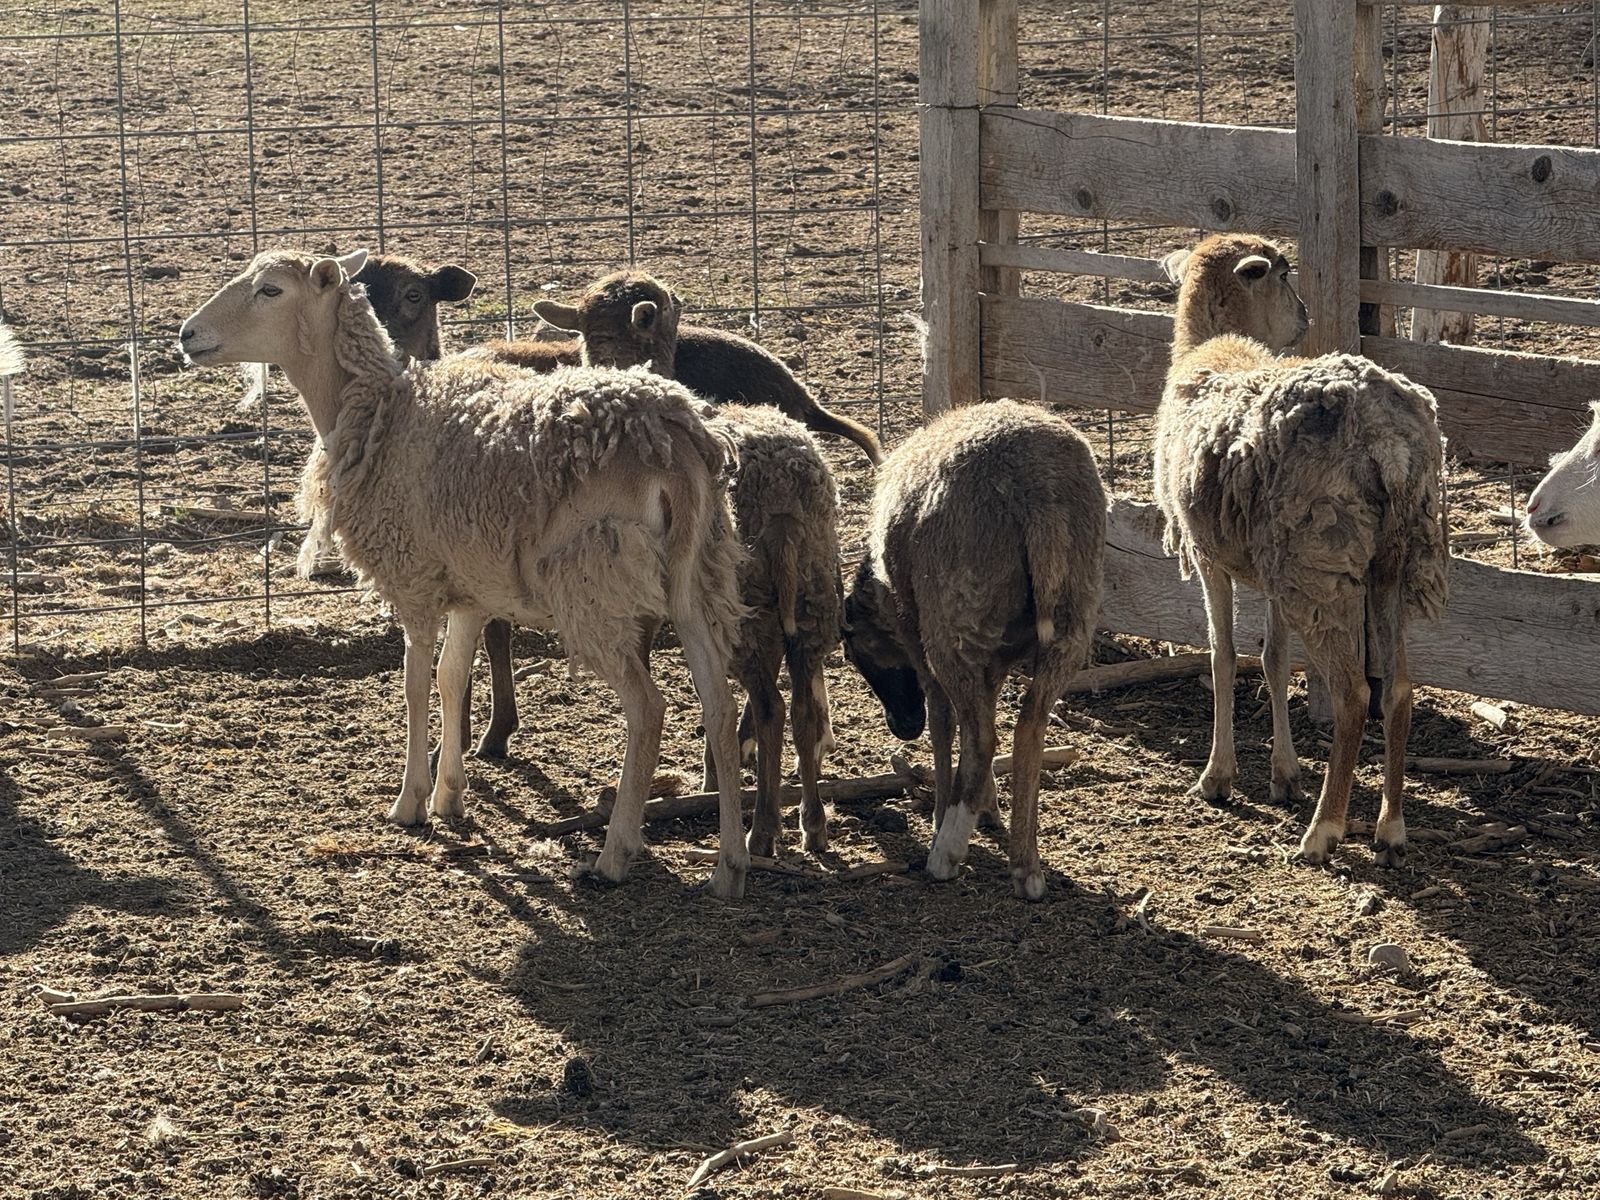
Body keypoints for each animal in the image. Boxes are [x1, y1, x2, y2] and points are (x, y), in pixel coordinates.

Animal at [179, 248, 753, 899]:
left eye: (270, 290)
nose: (187, 335)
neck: (378, 409)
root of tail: (676, 438)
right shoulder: (472, 586)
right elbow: (453, 678)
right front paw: (451, 794)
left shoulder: (413, 576)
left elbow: (414, 682)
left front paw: (410, 802)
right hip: (699, 573)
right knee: (718, 705)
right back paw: (730, 866)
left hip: (593, 580)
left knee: (648, 708)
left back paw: (615, 853)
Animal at [841, 398, 1105, 900]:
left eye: (851, 650)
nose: (901, 726)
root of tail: (1038, 489)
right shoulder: (996, 657)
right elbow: (982, 713)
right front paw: (989, 807)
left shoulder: (920, 644)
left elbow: (947, 726)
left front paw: (944, 813)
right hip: (1071, 622)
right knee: (1028, 727)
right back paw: (1026, 865)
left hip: (954, 620)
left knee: (984, 738)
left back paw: (946, 852)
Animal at [1155, 233, 1449, 868]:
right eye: (1285, 275)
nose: (1307, 317)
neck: (1213, 348)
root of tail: (1389, 442)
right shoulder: (1267, 566)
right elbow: (1272, 658)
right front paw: (1283, 774)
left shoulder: (1210, 555)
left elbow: (1222, 657)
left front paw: (1218, 776)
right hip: (1389, 560)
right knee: (1399, 690)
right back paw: (1390, 827)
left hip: (1318, 562)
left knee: (1353, 694)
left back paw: (1324, 830)